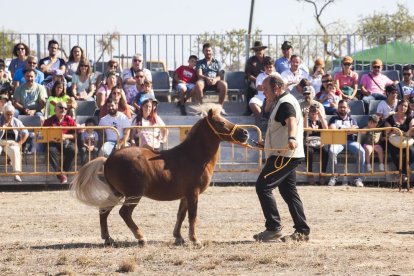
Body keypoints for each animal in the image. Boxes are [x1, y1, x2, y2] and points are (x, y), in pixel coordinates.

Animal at [70, 108, 249, 246]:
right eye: (221, 123)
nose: (245, 133)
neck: (192, 156)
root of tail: (108, 159)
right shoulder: (193, 194)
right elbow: (192, 216)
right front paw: (194, 240)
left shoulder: (185, 195)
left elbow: (181, 215)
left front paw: (179, 237)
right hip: (134, 194)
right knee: (124, 213)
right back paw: (141, 238)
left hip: (117, 193)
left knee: (104, 211)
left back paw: (108, 239)